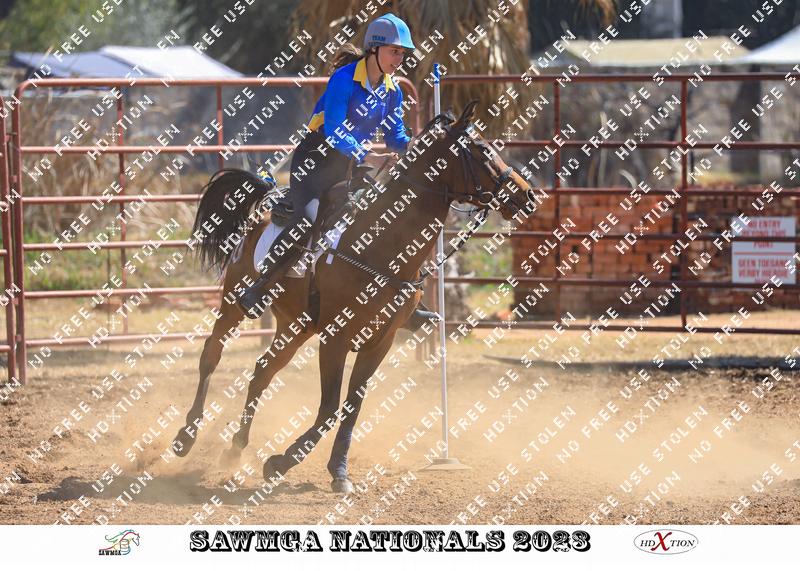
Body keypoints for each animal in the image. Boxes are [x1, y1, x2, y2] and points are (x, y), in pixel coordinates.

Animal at [171, 101, 535, 493]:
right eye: (482, 149)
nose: (527, 194)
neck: (380, 246)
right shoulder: (335, 338)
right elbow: (330, 406)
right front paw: (281, 463)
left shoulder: (380, 342)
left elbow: (351, 407)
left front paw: (338, 470)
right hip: (233, 303)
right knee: (211, 355)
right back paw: (186, 437)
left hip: (295, 326)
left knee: (262, 372)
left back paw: (235, 449)